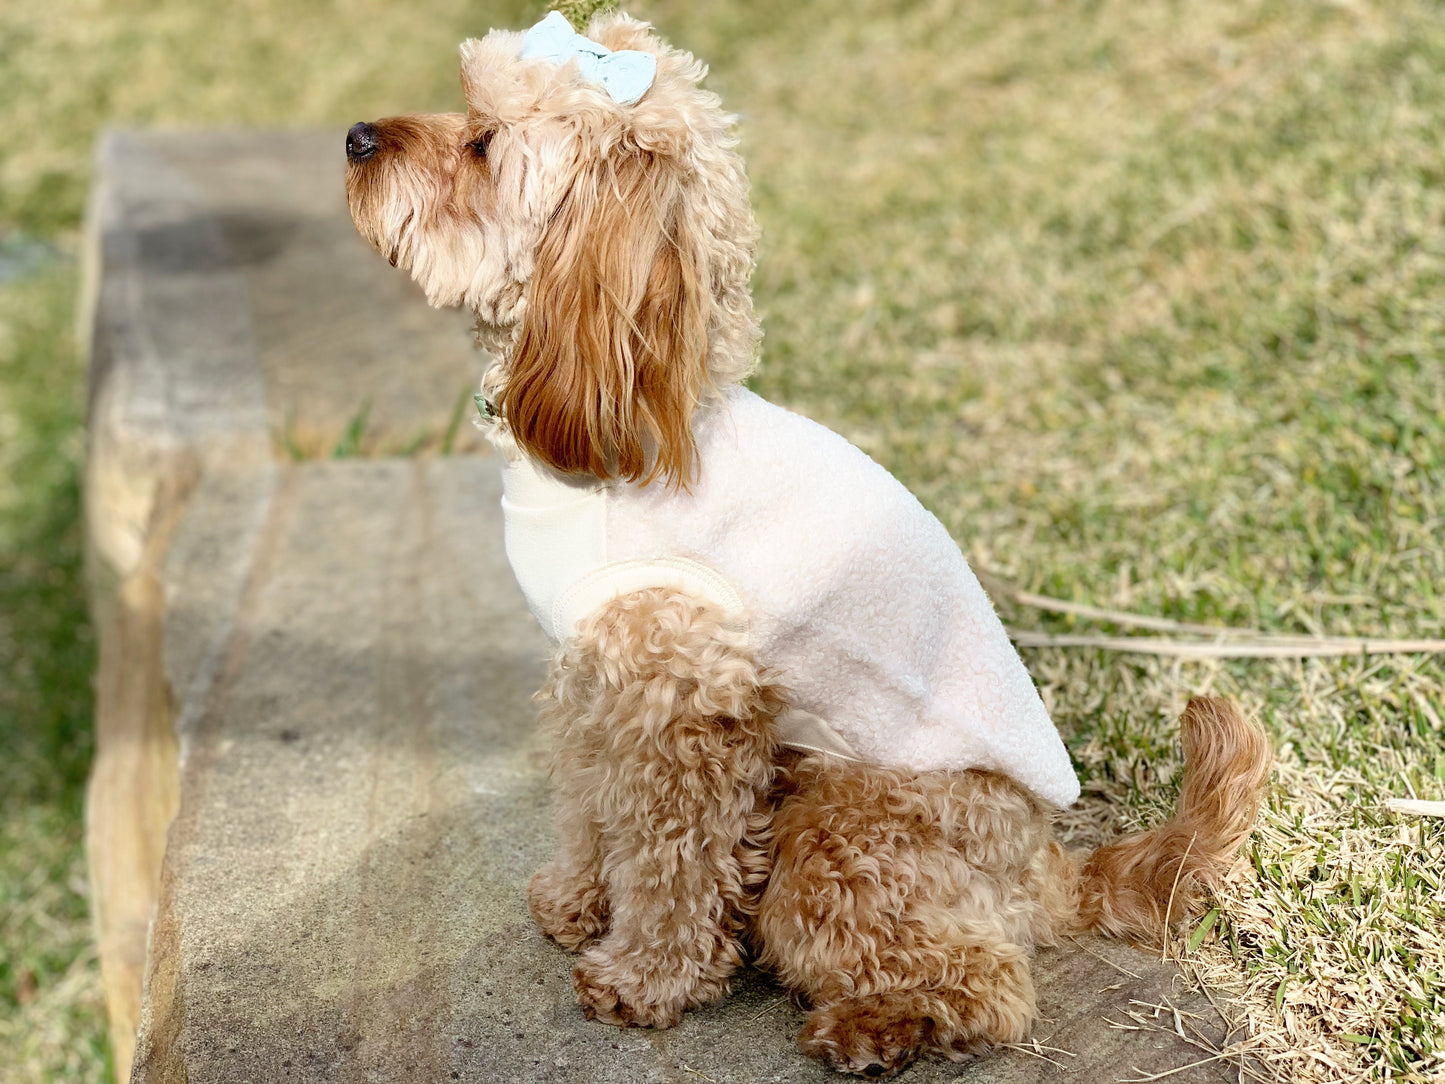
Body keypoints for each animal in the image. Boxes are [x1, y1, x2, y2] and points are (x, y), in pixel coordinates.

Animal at [343, 10, 1271, 1081]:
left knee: (990, 983)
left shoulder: (685, 712)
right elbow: (588, 800)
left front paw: (644, 977)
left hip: (842, 824)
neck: (636, 423)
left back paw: (872, 1028)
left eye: (485, 144)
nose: (355, 135)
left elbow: (670, 857)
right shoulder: (596, 683)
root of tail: (1047, 866)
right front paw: (576, 898)